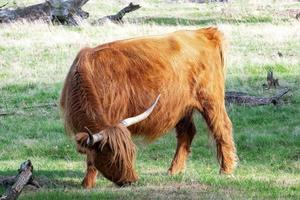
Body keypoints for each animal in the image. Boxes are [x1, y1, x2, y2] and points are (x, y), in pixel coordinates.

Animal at [60, 26, 237, 188]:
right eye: (112, 158)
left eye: (131, 154)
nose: (131, 181)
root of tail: (204, 32)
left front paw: (87, 183)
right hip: (181, 106)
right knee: (186, 132)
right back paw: (174, 170)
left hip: (211, 100)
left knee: (222, 128)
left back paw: (226, 170)